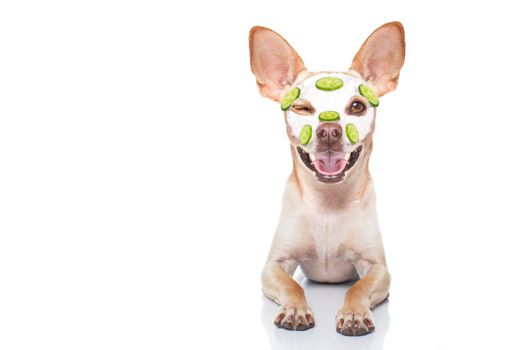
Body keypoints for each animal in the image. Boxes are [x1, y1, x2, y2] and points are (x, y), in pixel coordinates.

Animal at [249, 22, 406, 336]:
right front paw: (295, 309)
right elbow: (292, 286)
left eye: (357, 106)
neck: (328, 204)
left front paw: (354, 313)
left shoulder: (377, 268)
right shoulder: (274, 264)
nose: (330, 131)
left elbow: (358, 288)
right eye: (301, 107)